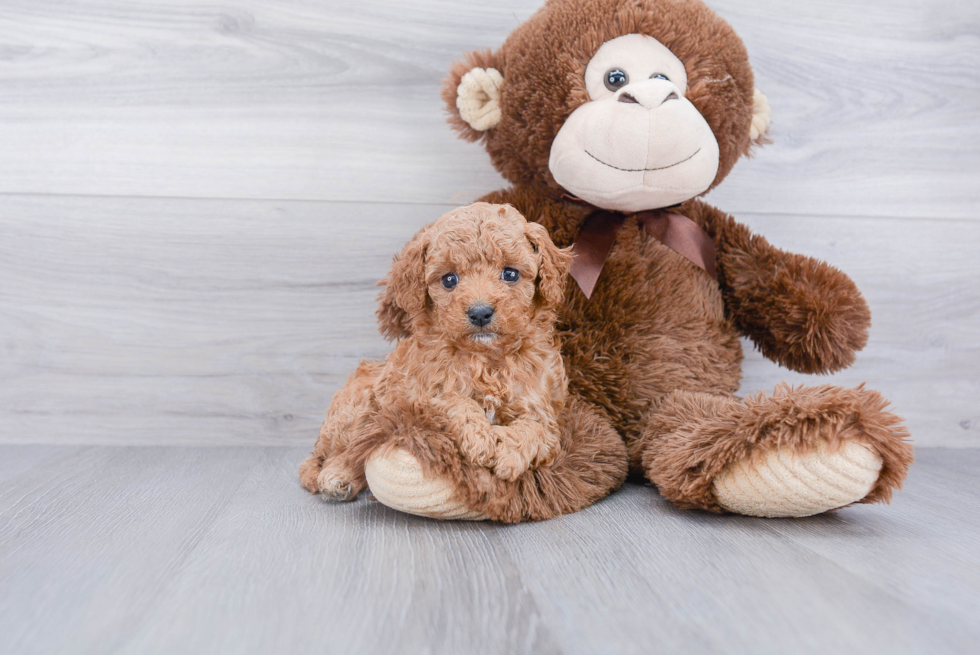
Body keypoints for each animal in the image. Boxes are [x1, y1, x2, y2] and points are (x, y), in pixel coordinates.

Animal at [298, 205, 584, 508]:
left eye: (510, 274)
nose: (480, 312)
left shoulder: (543, 411)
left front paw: (509, 454)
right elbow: (453, 401)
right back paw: (336, 478)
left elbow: (536, 428)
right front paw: (479, 439)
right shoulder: (417, 399)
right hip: (358, 408)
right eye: (449, 279)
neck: (485, 358)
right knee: (342, 452)